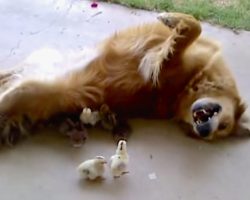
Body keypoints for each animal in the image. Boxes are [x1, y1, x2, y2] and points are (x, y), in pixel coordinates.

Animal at [0, 12, 248, 144]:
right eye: (224, 125)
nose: (204, 131)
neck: (191, 82)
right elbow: (196, 26)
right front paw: (172, 19)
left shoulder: (160, 66)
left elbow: (188, 33)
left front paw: (174, 22)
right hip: (41, 60)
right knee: (9, 73)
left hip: (26, 89)